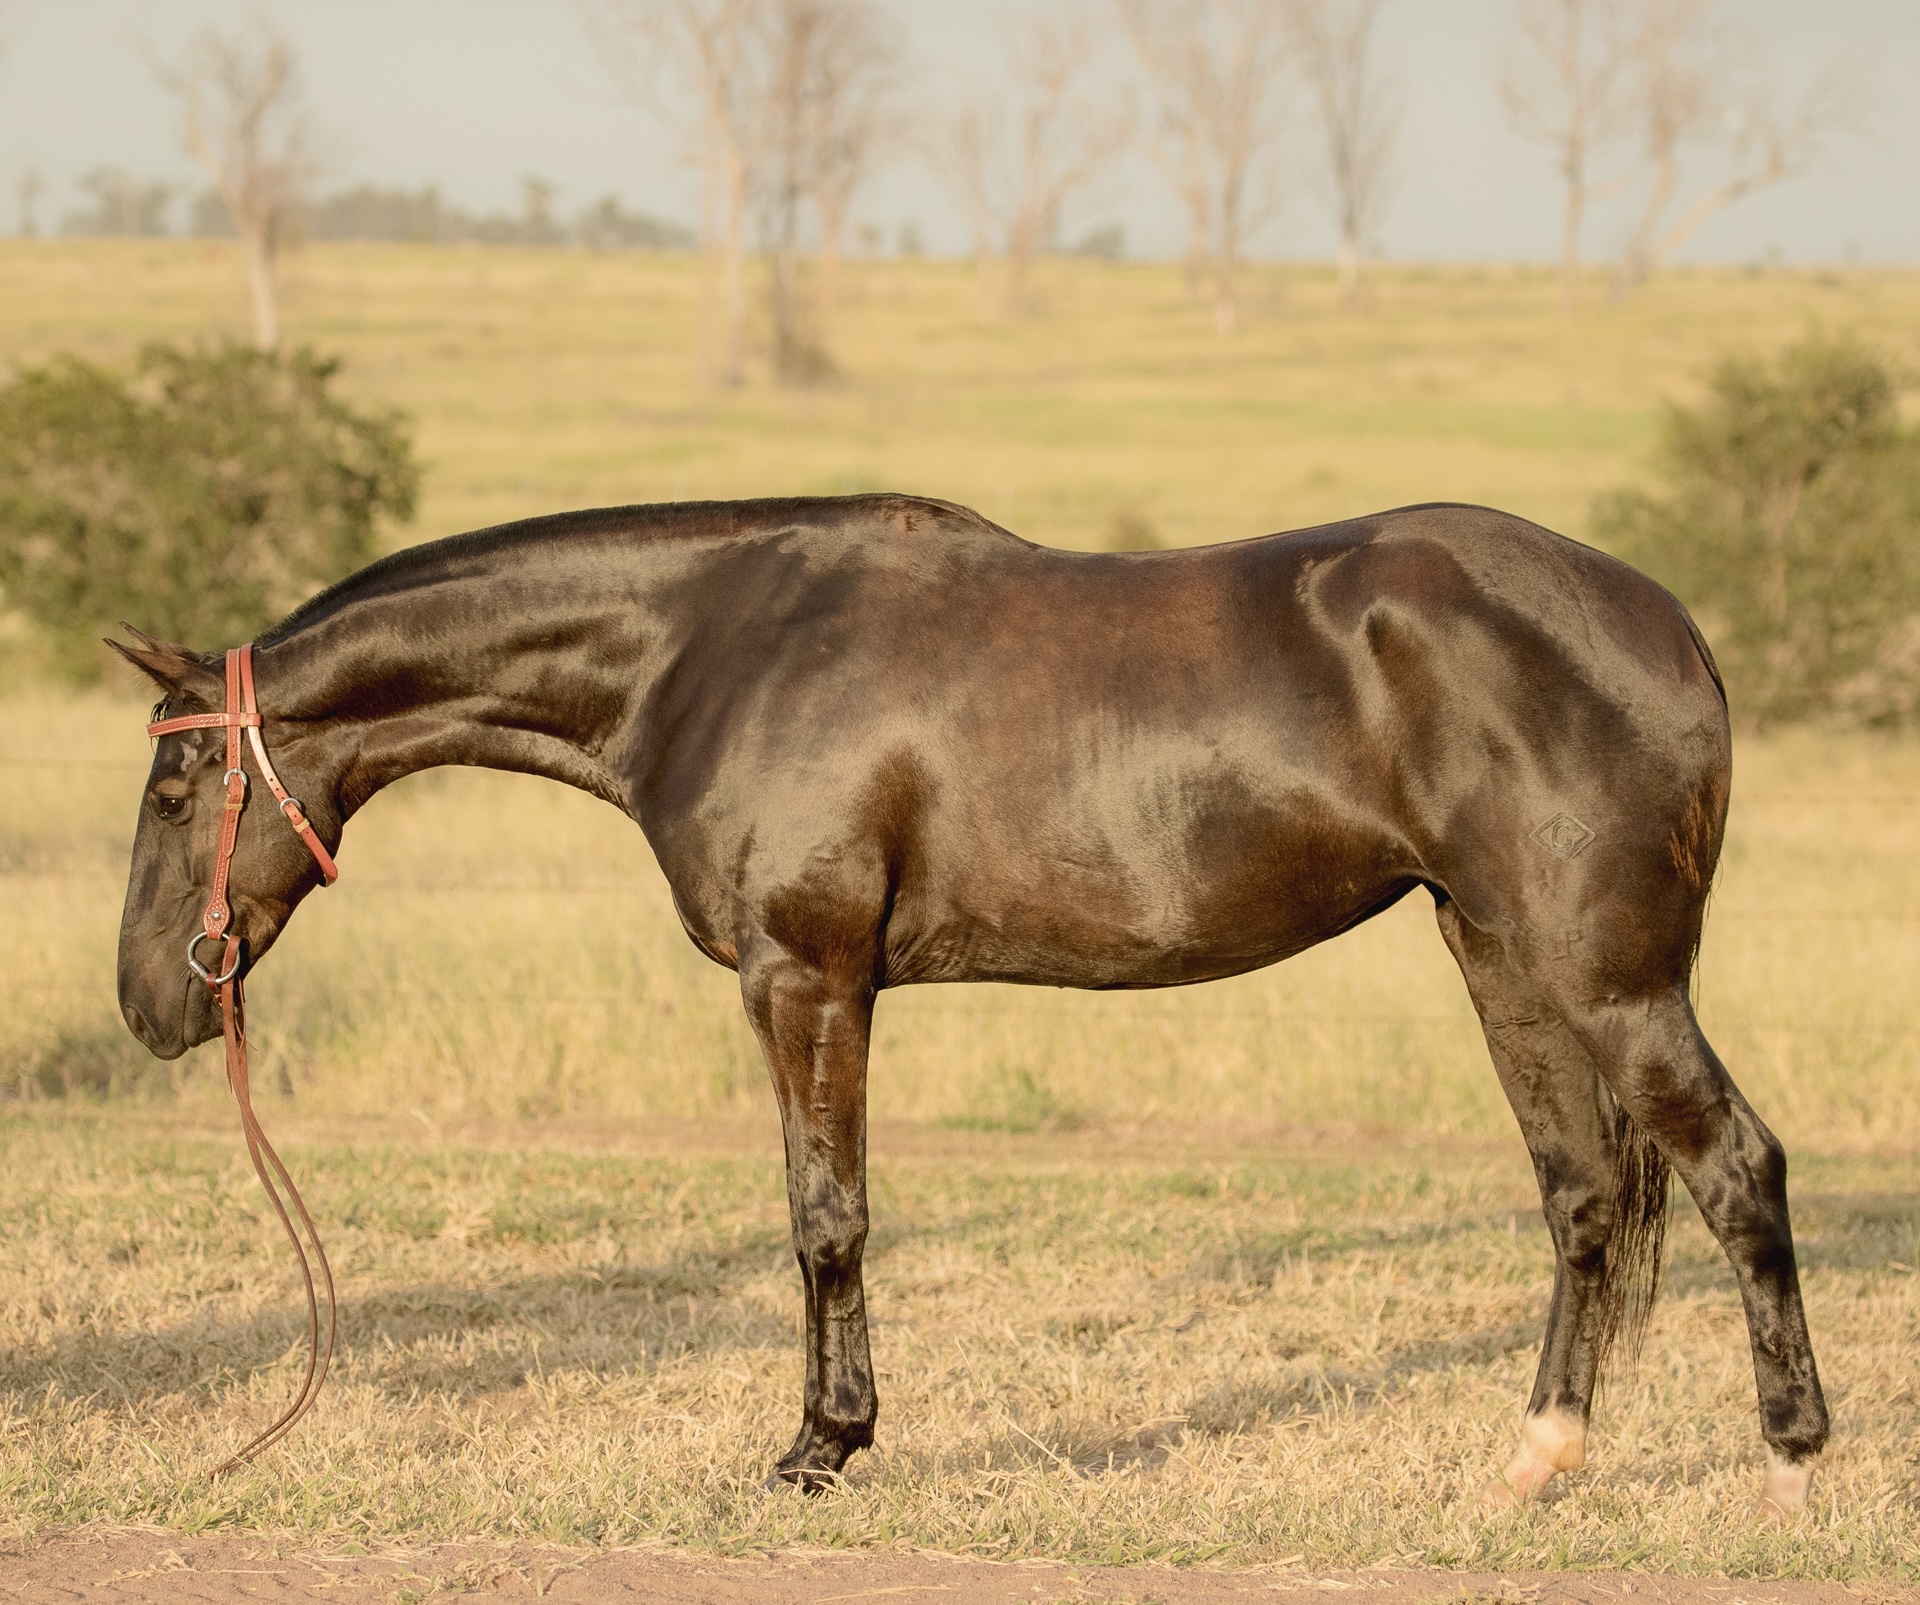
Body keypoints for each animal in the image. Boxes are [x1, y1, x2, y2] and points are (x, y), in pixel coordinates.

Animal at [112, 494, 1827, 1514]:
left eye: (176, 785)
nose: (145, 1006)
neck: (712, 649)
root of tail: (1667, 626)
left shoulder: (805, 977)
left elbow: (825, 1217)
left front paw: (822, 1446)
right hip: (1501, 957)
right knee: (1586, 1195)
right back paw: (1539, 1455)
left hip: (1607, 978)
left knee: (1738, 1168)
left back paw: (1795, 1456)